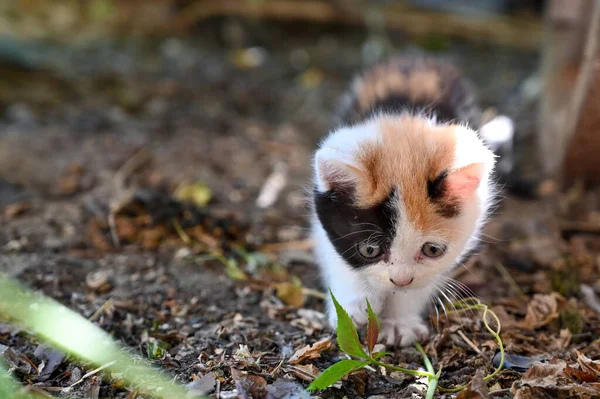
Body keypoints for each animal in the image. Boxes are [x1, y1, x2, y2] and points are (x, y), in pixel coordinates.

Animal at [312, 56, 512, 346]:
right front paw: (353, 304)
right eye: (369, 250)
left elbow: (425, 282)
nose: (401, 280)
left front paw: (400, 322)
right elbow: (335, 256)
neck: (405, 123)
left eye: (432, 250)